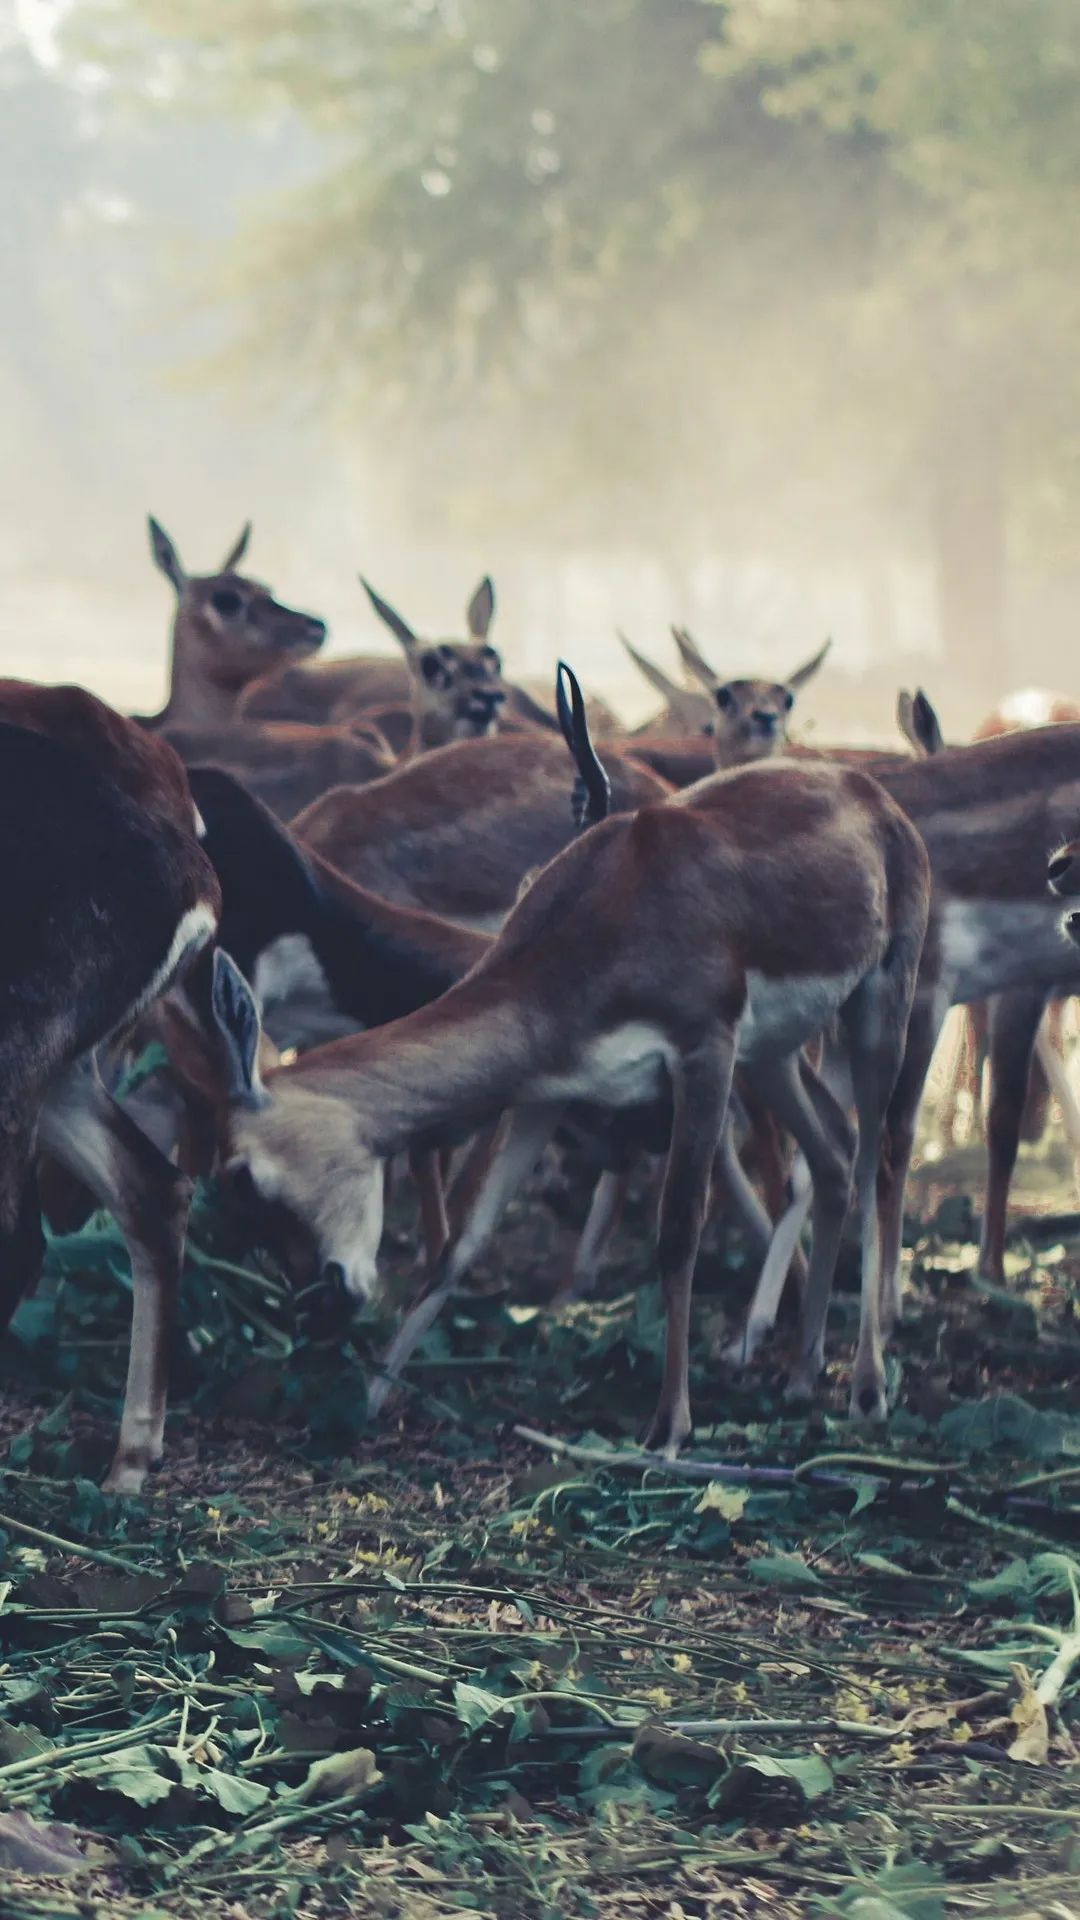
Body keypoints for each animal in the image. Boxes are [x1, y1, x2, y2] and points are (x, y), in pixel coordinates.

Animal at [207, 667, 930, 1447]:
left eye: (248, 1177)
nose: (321, 1305)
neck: (597, 918)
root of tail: (871, 793)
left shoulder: (702, 1051)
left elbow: (677, 1231)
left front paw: (669, 1426)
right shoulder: (546, 1089)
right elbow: (462, 1242)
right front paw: (369, 1399)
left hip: (876, 1008)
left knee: (879, 1161)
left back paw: (866, 1389)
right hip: (773, 1055)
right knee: (832, 1155)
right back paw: (801, 1377)